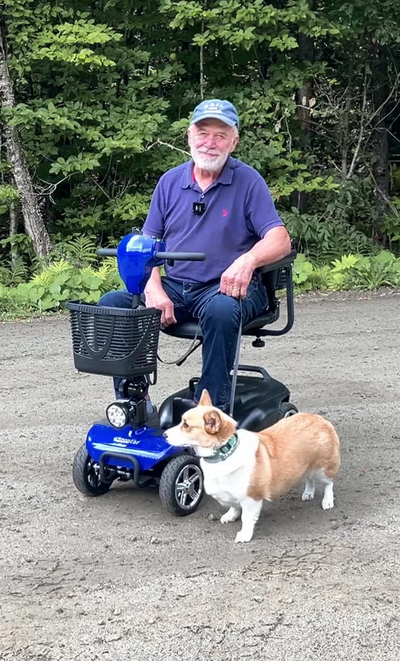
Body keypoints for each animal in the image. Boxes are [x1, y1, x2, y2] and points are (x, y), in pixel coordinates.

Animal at [164, 390, 341, 542]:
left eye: (186, 425)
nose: (164, 435)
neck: (224, 454)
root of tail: (320, 419)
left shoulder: (251, 499)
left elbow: (247, 518)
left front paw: (244, 535)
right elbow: (234, 507)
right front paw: (230, 516)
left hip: (323, 468)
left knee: (328, 484)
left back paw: (327, 501)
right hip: (305, 465)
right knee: (309, 479)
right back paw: (308, 493)